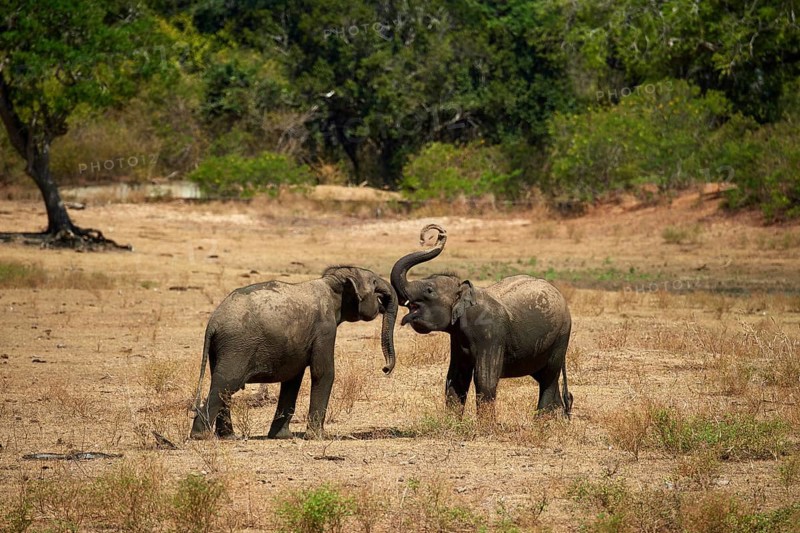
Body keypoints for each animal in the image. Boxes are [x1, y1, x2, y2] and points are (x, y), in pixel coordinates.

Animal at [190, 265, 397, 439]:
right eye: (374, 282)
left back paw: (228, 437)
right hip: (237, 346)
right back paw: (201, 436)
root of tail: (213, 323)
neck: (332, 284)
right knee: (226, 383)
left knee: (223, 386)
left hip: (221, 349)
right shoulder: (325, 329)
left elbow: (292, 379)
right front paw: (317, 437)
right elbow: (323, 372)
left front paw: (281, 437)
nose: (385, 368)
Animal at [390, 224, 573, 420]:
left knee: (549, 375)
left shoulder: (490, 333)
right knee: (544, 375)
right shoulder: (457, 337)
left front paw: (486, 426)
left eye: (429, 290)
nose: (436, 233)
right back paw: (559, 419)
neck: (464, 290)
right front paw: (452, 423)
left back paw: (542, 421)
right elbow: (456, 377)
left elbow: (484, 378)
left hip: (561, 336)